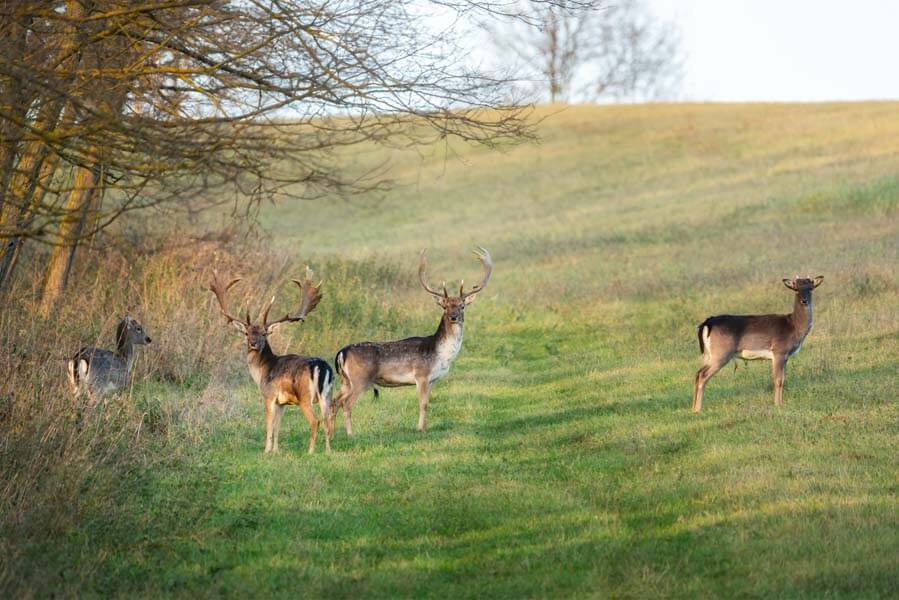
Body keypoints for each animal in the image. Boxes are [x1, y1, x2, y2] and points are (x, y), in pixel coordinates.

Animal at [210, 267, 334, 454]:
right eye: (247, 333)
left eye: (263, 333)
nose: (253, 343)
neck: (261, 371)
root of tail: (321, 366)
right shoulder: (282, 402)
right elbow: (277, 426)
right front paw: (276, 450)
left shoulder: (268, 395)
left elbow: (268, 425)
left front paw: (266, 451)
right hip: (327, 394)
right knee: (328, 420)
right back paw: (328, 451)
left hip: (305, 396)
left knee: (315, 421)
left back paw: (310, 451)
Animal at [332, 247, 492, 435]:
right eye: (445, 306)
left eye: (462, 306)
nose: (453, 317)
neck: (441, 355)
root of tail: (342, 352)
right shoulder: (421, 375)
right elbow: (423, 404)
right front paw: (420, 429)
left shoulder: (431, 380)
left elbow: (427, 403)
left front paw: (425, 428)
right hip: (360, 379)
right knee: (346, 403)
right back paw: (350, 434)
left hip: (345, 381)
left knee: (334, 401)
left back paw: (331, 433)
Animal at [692, 275, 824, 412]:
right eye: (796, 288)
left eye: (810, 288)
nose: (804, 301)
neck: (794, 326)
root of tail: (708, 323)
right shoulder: (779, 351)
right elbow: (778, 380)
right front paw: (778, 405)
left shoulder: (785, 356)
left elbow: (783, 379)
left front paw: (781, 403)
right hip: (721, 353)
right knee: (702, 375)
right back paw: (697, 409)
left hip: (708, 355)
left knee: (697, 373)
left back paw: (693, 408)